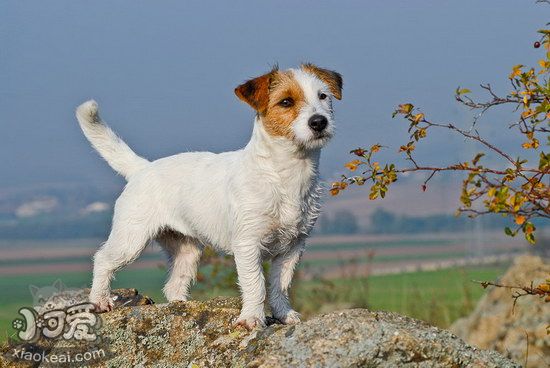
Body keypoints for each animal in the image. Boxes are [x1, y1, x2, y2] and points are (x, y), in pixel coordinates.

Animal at [76, 64, 344, 330]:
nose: (319, 122)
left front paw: (283, 314)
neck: (284, 174)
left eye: (323, 96)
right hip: (131, 238)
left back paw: (183, 309)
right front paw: (252, 318)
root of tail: (143, 168)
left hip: (186, 250)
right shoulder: (248, 244)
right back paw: (99, 300)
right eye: (286, 101)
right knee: (103, 259)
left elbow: (280, 284)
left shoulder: (292, 247)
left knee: (173, 285)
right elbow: (256, 284)